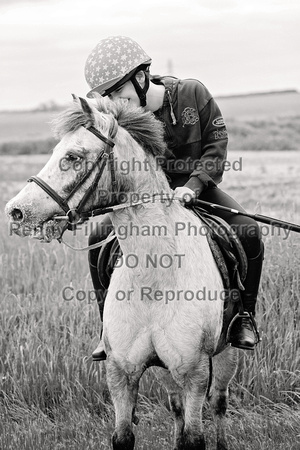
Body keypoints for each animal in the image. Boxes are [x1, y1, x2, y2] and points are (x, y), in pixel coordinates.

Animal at [5, 94, 238, 450]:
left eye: (72, 156)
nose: (16, 211)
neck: (155, 275)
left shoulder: (193, 372)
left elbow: (194, 437)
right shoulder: (121, 372)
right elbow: (123, 436)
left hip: (226, 353)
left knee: (219, 403)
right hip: (164, 368)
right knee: (176, 407)